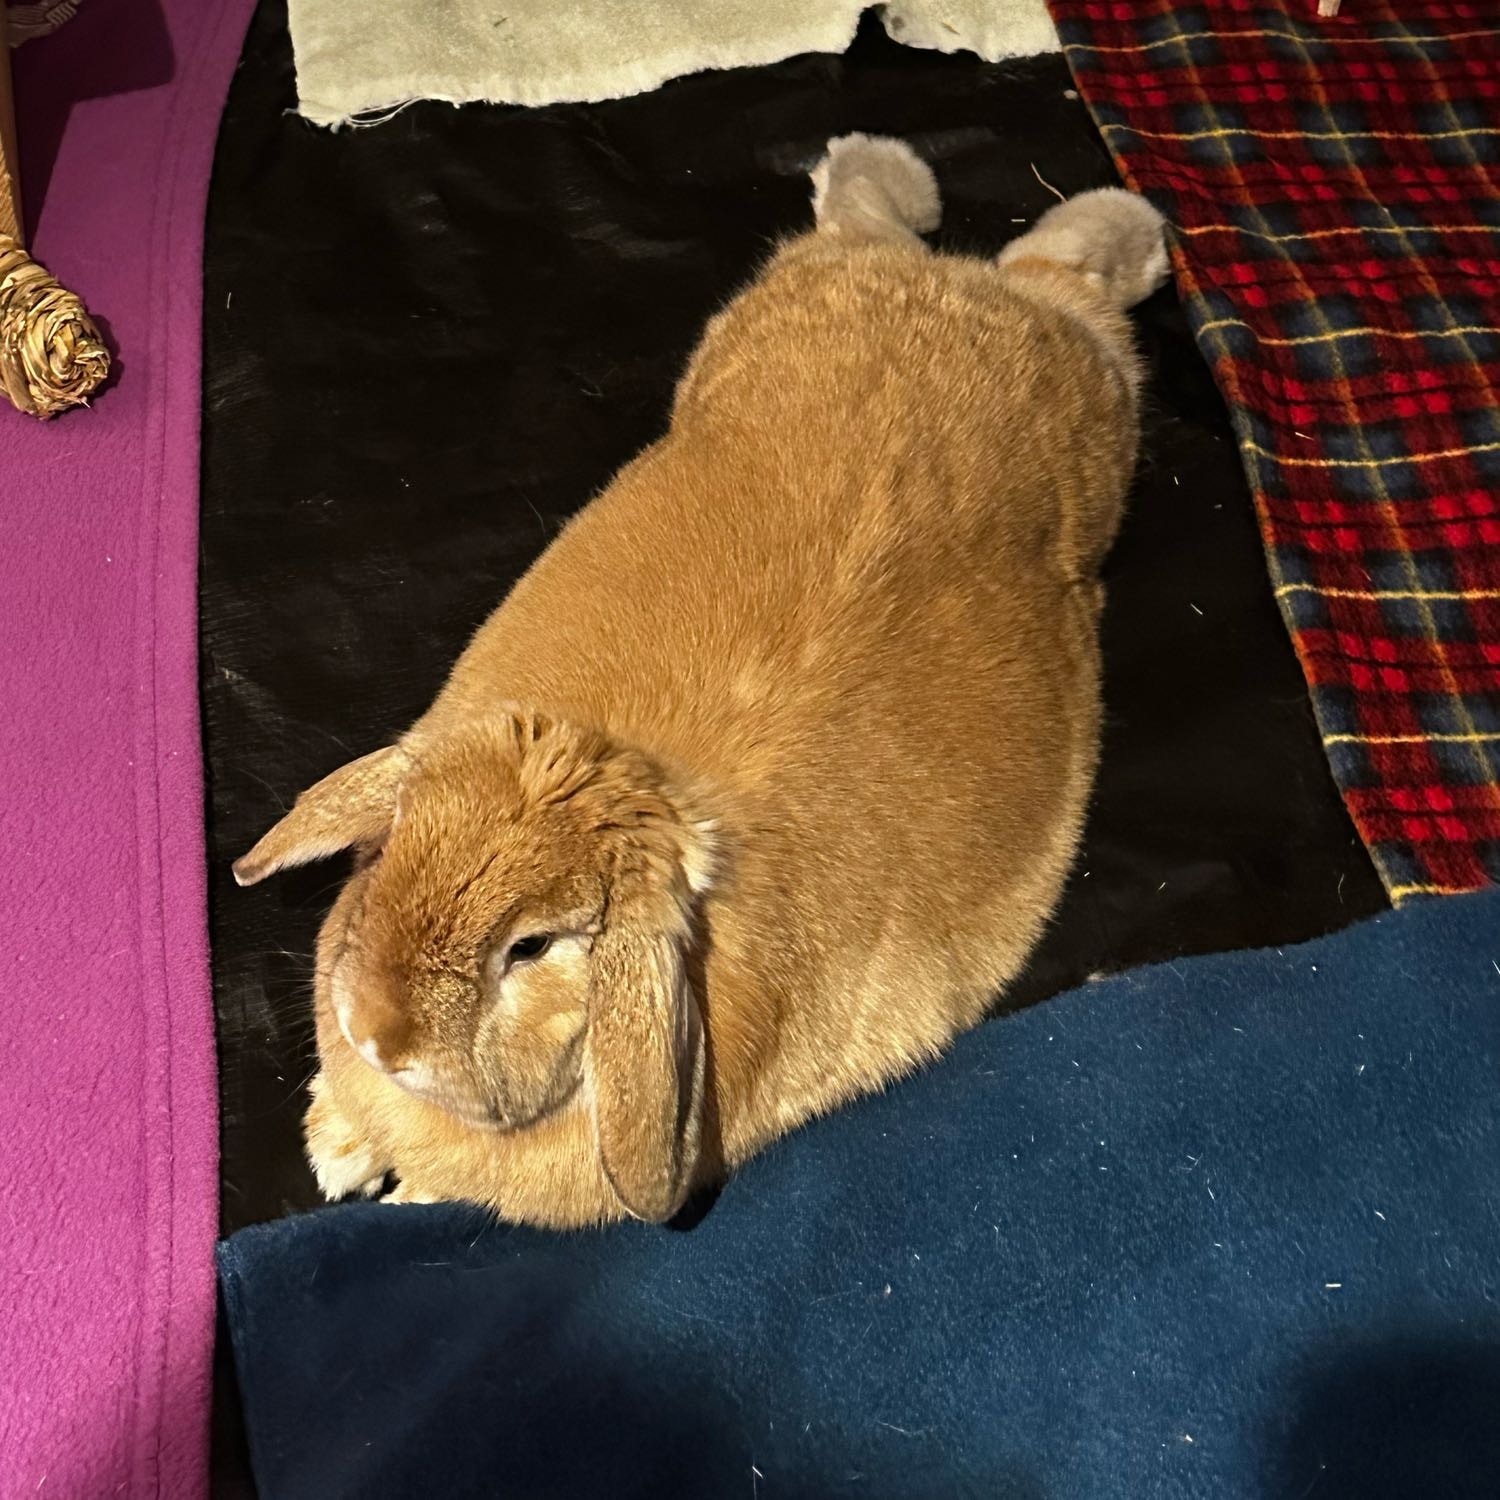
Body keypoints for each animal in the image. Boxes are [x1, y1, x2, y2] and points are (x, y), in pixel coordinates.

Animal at [235, 134, 1169, 1227]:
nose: (375, 1032)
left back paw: (1125, 232)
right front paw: (336, 1149)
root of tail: (967, 286)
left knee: (1068, 272)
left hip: (1099, 423)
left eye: (532, 948)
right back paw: (881, 169)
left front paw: (388, 1188)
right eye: (390, 850)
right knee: (905, 231)